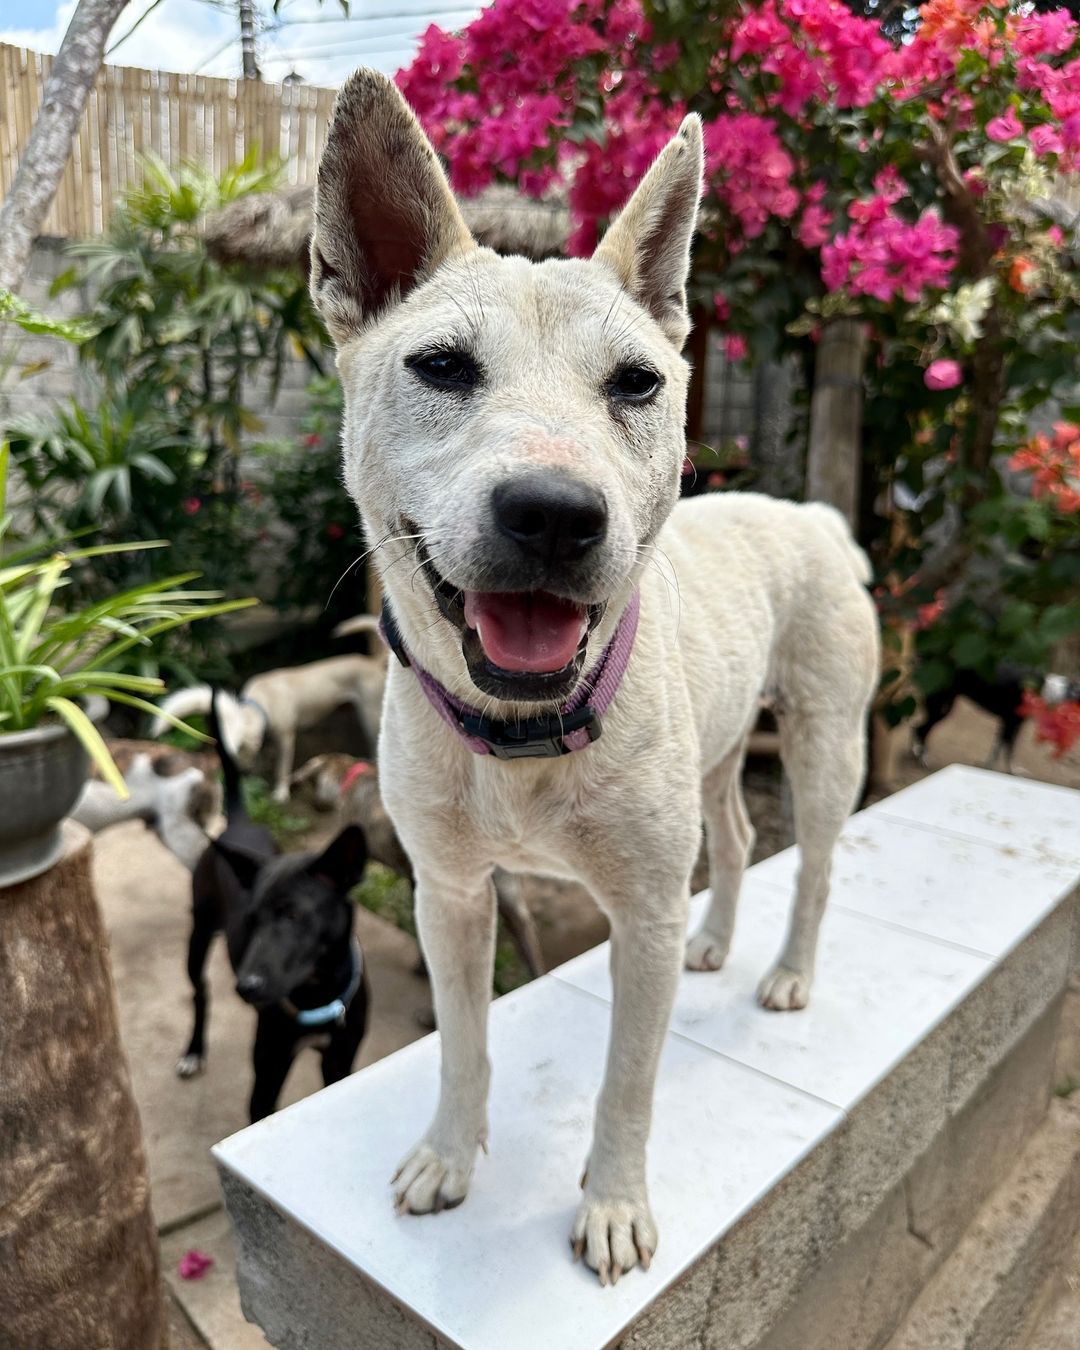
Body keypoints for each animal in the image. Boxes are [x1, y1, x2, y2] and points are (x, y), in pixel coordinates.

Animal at [172, 696, 367, 1117]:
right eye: (250, 921)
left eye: (295, 915)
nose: (246, 987)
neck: (316, 994)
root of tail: (239, 822)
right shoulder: (267, 1077)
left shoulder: (341, 1065)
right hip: (198, 934)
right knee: (200, 993)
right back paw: (194, 1051)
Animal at [307, 71, 880, 1285]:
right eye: (441, 366)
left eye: (637, 383)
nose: (555, 514)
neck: (520, 734)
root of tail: (807, 511)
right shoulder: (449, 894)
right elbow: (463, 1044)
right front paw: (448, 1157)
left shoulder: (642, 917)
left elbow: (629, 1083)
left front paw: (613, 1207)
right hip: (718, 749)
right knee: (739, 837)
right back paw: (719, 941)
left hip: (822, 742)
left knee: (812, 861)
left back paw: (787, 972)